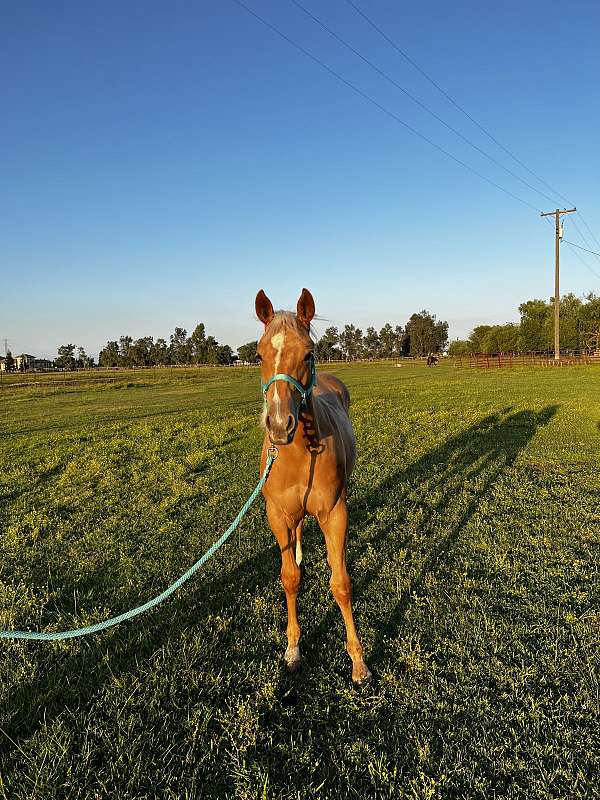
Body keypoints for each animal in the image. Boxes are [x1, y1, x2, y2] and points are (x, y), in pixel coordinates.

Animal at [255, 288, 372, 686]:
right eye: (258, 354)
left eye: (309, 353)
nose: (279, 425)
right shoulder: (277, 516)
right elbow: (290, 578)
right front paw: (292, 649)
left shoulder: (334, 513)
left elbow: (341, 584)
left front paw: (358, 662)